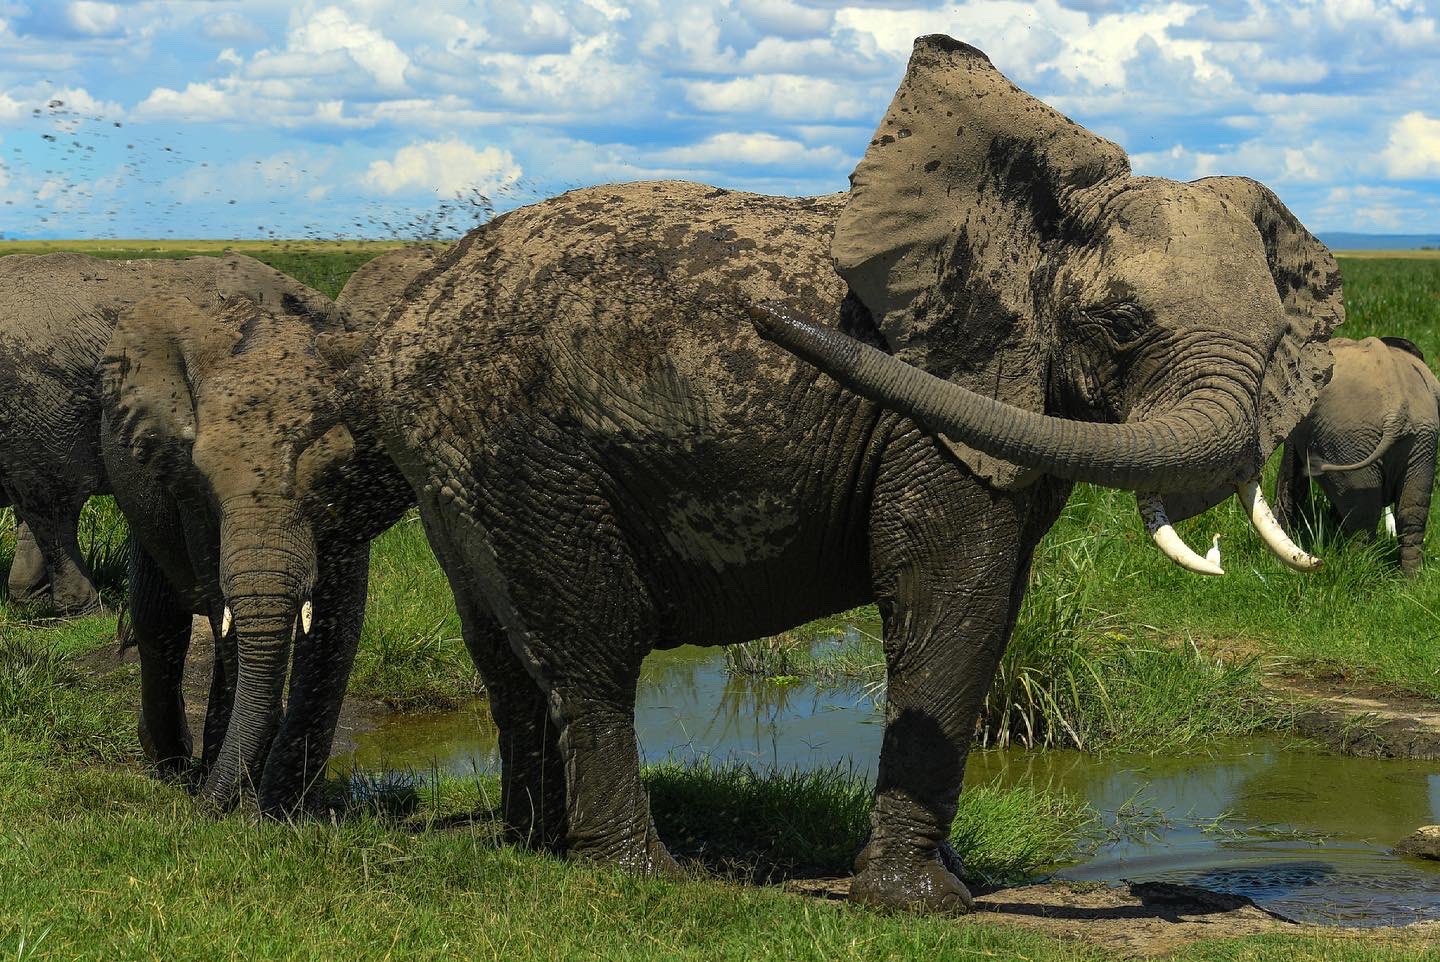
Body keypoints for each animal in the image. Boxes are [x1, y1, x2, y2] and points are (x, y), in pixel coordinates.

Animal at [342, 35, 1342, 910]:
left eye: (1275, 341)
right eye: (1123, 324)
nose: (763, 315)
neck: (1028, 226)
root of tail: (406, 320)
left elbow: (983, 598)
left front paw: (942, 886)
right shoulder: (930, 409)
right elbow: (954, 600)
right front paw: (923, 905)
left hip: (455, 469)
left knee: (507, 658)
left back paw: (535, 850)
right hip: (516, 442)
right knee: (592, 647)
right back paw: (641, 876)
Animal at [1272, 334, 1440, 570]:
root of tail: (1396, 411)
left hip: (1350, 439)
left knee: (1363, 515)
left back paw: (1358, 565)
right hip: (1416, 442)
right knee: (1410, 512)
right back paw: (1409, 576)